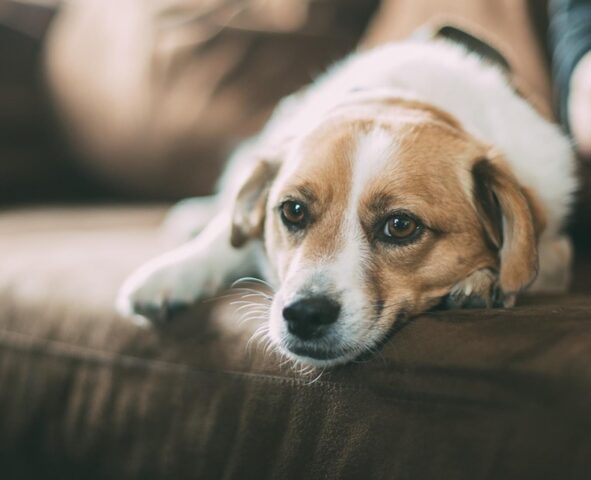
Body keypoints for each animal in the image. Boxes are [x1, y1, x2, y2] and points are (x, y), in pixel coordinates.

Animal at [115, 38, 580, 368]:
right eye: (292, 211)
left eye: (400, 225)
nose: (304, 314)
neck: (402, 98)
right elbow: (224, 238)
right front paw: (172, 273)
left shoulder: (556, 245)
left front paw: (483, 281)